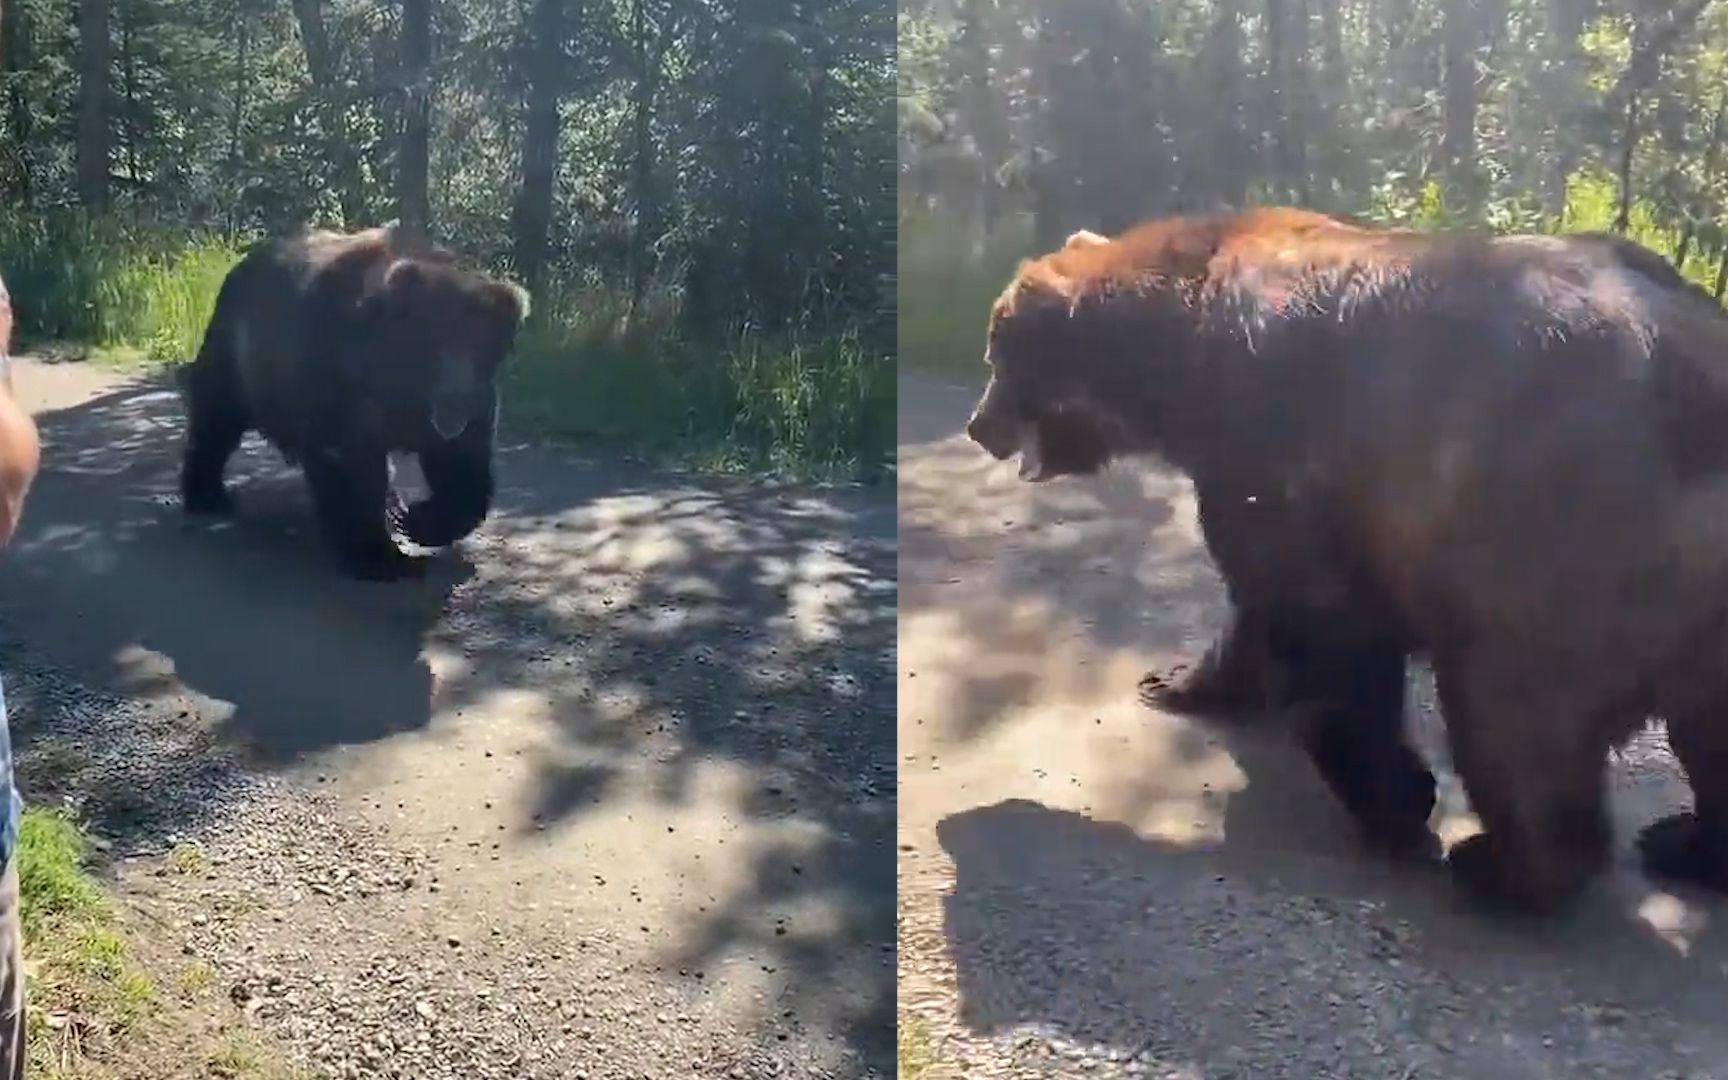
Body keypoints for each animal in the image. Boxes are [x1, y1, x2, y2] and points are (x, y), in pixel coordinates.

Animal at [176, 224, 528, 580]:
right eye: (433, 340)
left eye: (482, 345)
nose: (455, 400)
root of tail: (242, 265)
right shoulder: (343, 384)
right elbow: (349, 464)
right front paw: (378, 556)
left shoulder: (460, 411)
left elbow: (460, 464)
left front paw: (417, 520)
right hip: (236, 352)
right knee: (216, 418)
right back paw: (207, 494)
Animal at [967, 206, 1728, 912]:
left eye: (997, 354)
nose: (979, 426)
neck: (1181, 359)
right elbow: (1253, 606)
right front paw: (1176, 682)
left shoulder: (1285, 445)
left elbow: (1326, 630)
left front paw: (1400, 802)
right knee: (1705, 728)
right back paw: (1684, 843)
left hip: (1550, 534)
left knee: (1513, 713)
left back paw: (1504, 867)